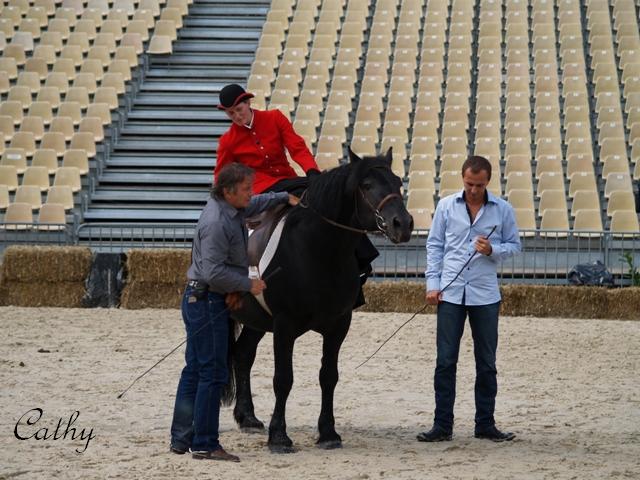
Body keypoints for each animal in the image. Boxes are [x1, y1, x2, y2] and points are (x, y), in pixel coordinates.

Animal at [228, 148, 412, 452]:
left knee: (243, 354)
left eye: (398, 182)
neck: (318, 250)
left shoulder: (339, 325)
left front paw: (328, 432)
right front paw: (279, 437)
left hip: (256, 320)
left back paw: (248, 417)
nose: (403, 224)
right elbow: (283, 379)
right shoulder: (284, 325)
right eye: (366, 185)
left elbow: (328, 376)